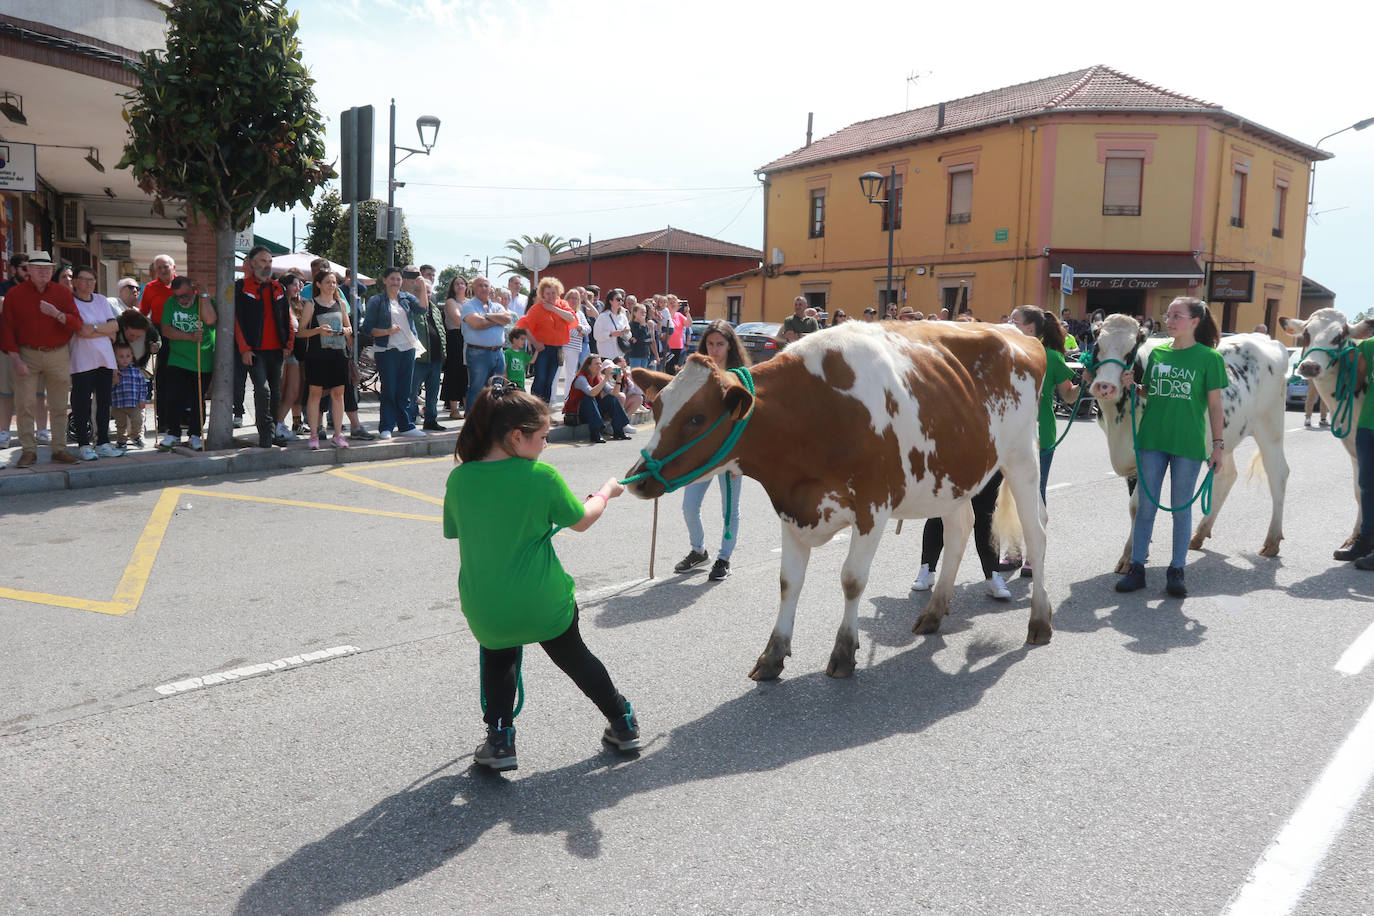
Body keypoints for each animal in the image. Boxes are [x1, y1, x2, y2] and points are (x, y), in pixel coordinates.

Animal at [1082, 317, 1286, 574]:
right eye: (1097, 346)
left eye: (1131, 351)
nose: (1105, 386)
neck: (1117, 425)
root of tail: (1266, 339)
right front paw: (1143, 548)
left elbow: (1137, 506)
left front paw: (1128, 556)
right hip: (1224, 436)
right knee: (1227, 475)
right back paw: (1199, 533)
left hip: (1271, 427)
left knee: (1278, 475)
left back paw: (1272, 541)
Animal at [1280, 307, 1368, 552]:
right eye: (1306, 334)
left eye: (1339, 337)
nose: (1310, 366)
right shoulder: (1355, 450)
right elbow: (1360, 492)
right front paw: (1354, 539)